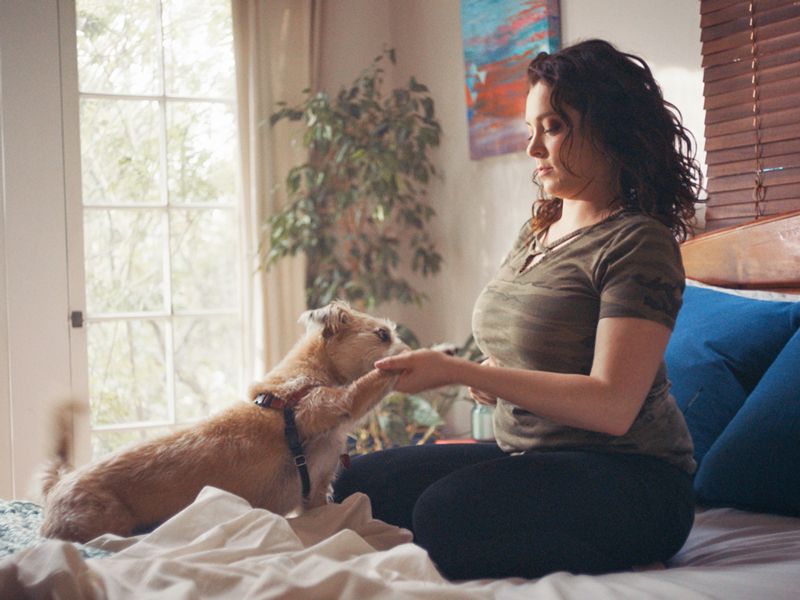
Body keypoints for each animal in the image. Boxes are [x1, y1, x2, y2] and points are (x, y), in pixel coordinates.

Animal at [40, 302, 410, 540]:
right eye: (382, 334)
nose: (411, 348)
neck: (305, 381)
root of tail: (56, 487)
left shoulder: (315, 493)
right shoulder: (332, 404)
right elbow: (373, 381)